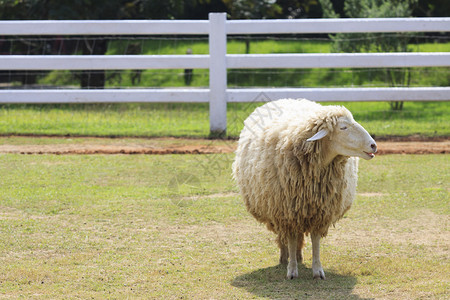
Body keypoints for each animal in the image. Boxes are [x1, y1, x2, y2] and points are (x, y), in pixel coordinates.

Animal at [232, 99, 376, 280]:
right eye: (343, 127)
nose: (374, 145)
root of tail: (286, 99)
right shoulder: (287, 212)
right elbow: (291, 239)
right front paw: (292, 270)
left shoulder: (320, 212)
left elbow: (315, 241)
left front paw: (317, 270)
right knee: (285, 237)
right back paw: (285, 256)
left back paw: (299, 255)